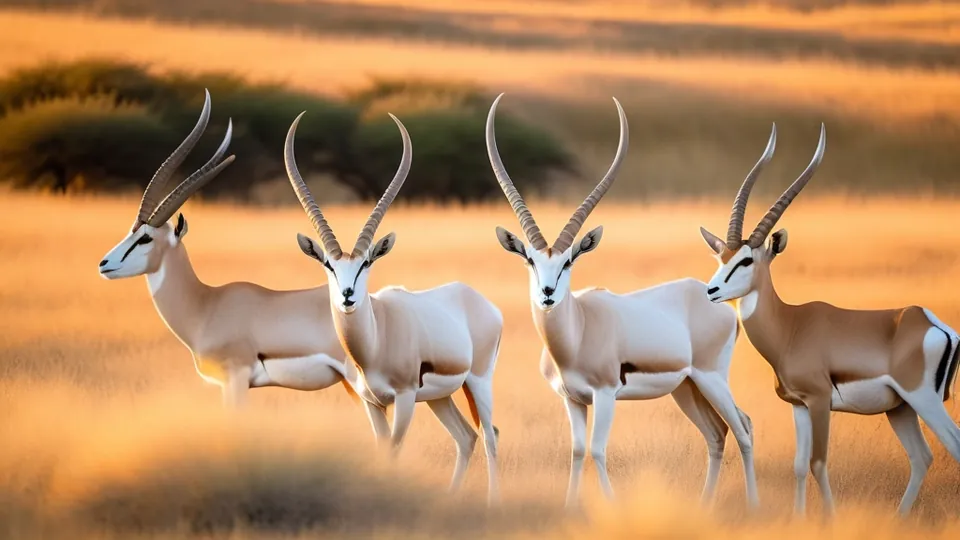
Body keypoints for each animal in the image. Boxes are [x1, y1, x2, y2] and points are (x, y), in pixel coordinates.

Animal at [285, 111, 504, 504]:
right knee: (467, 436)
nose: (348, 296)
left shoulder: (402, 400)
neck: (375, 341)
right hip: (440, 398)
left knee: (491, 435)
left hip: (478, 382)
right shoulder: (372, 404)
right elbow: (381, 450)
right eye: (328, 264)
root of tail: (476, 300)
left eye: (366, 263)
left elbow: (394, 450)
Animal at [487, 94, 758, 508]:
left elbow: (598, 450)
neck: (578, 331)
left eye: (569, 261)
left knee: (742, 427)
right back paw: (704, 504)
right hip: (687, 388)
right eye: (530, 259)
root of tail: (714, 302)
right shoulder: (573, 400)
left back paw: (753, 504)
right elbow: (577, 451)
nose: (548, 294)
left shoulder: (605, 395)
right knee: (716, 433)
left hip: (711, 379)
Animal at [699, 123, 960, 516]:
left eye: (746, 260)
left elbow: (818, 462)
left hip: (924, 402)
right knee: (921, 457)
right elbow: (798, 465)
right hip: (901, 409)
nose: (712, 291)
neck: (790, 327)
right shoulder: (799, 405)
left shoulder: (821, 401)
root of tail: (929, 322)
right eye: (722, 256)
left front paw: (829, 518)